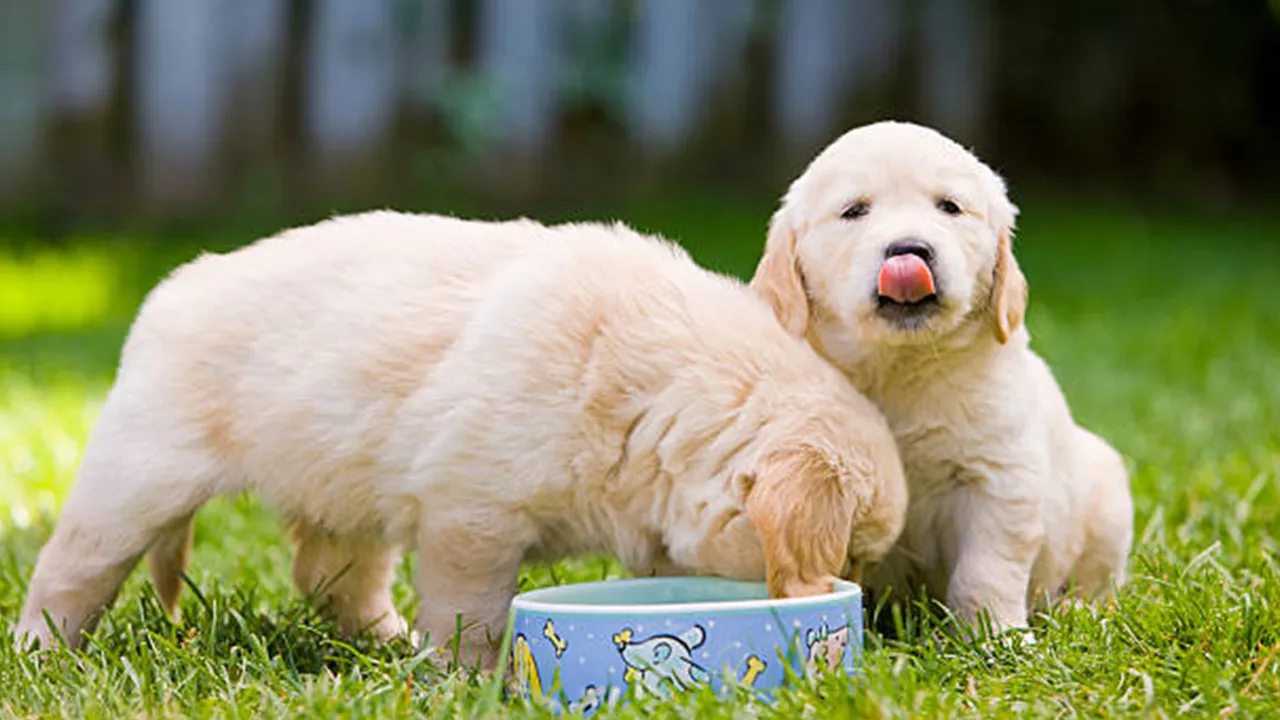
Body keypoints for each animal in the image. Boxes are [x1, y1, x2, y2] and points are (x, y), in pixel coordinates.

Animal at [15, 210, 906, 666]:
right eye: (851, 554)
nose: (870, 608)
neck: (657, 392)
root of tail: (174, 287)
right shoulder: (472, 518)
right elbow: (470, 611)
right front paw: (470, 679)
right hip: (141, 472)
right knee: (72, 564)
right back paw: (40, 648)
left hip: (347, 488)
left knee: (330, 576)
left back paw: (384, 642)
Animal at [747, 122, 1131, 632]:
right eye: (854, 211)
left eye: (949, 207)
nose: (909, 250)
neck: (898, 368)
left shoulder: (999, 478)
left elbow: (986, 569)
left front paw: (996, 635)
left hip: (1108, 494)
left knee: (1099, 582)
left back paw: (1079, 610)